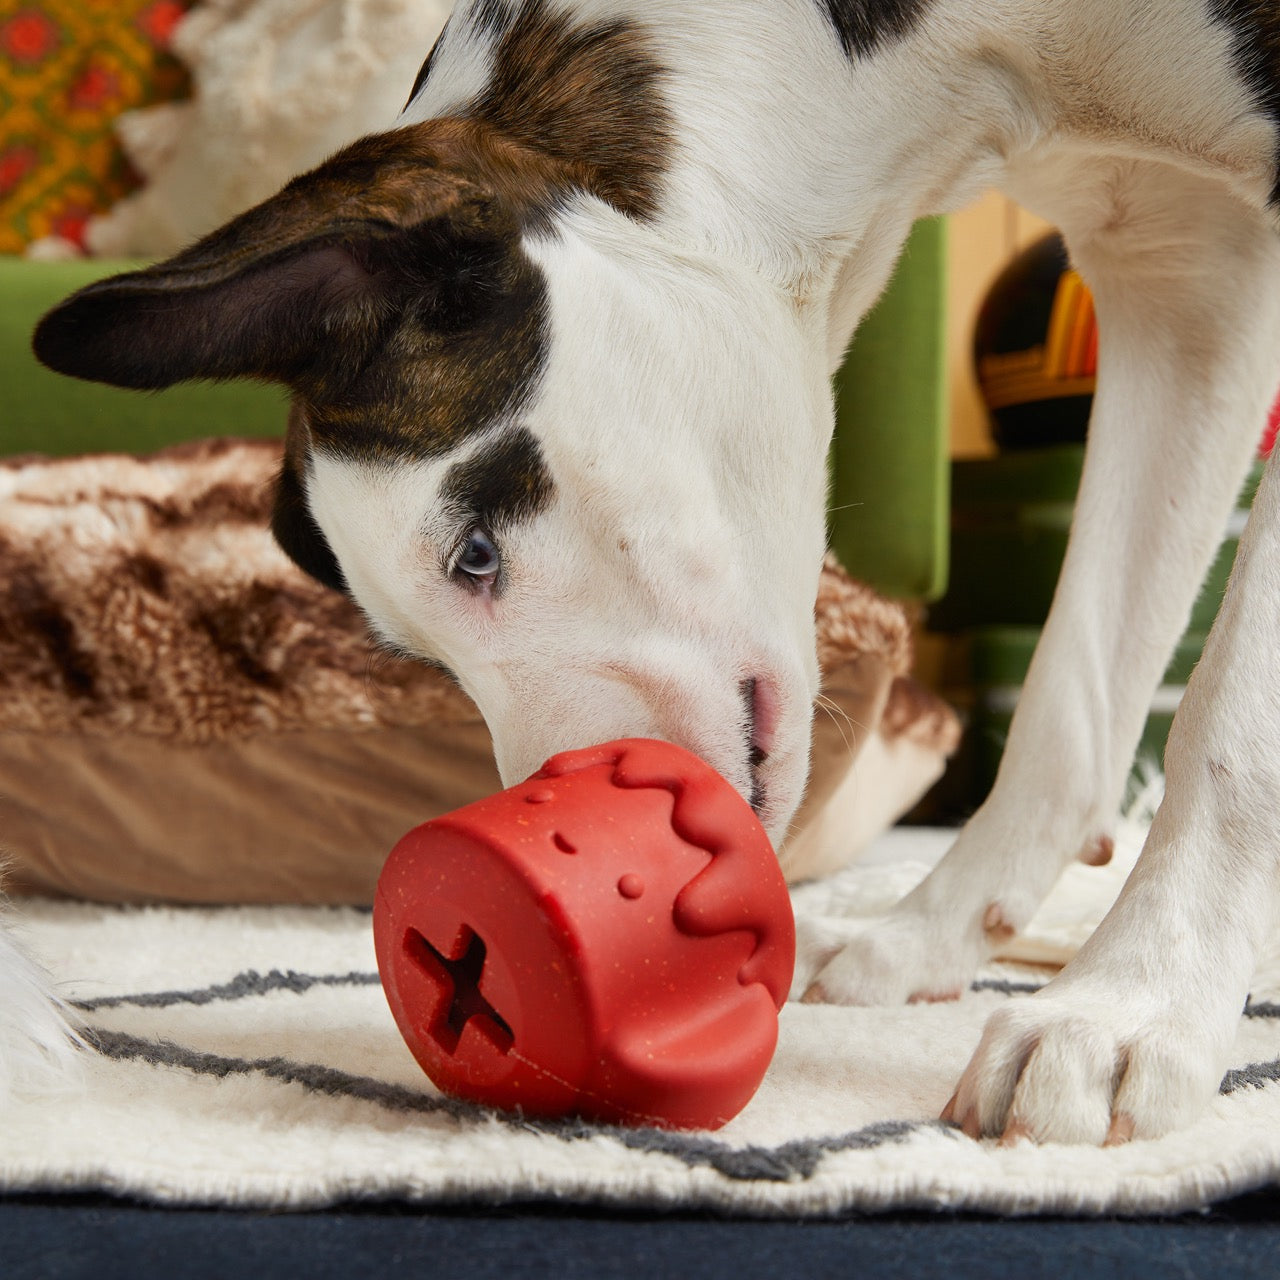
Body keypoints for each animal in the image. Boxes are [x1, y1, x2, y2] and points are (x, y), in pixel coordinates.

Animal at [15, 0, 1280, 1152]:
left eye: (474, 551)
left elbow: (1228, 714)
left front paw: (1127, 1009)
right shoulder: (1184, 273)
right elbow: (1071, 698)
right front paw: (929, 937)